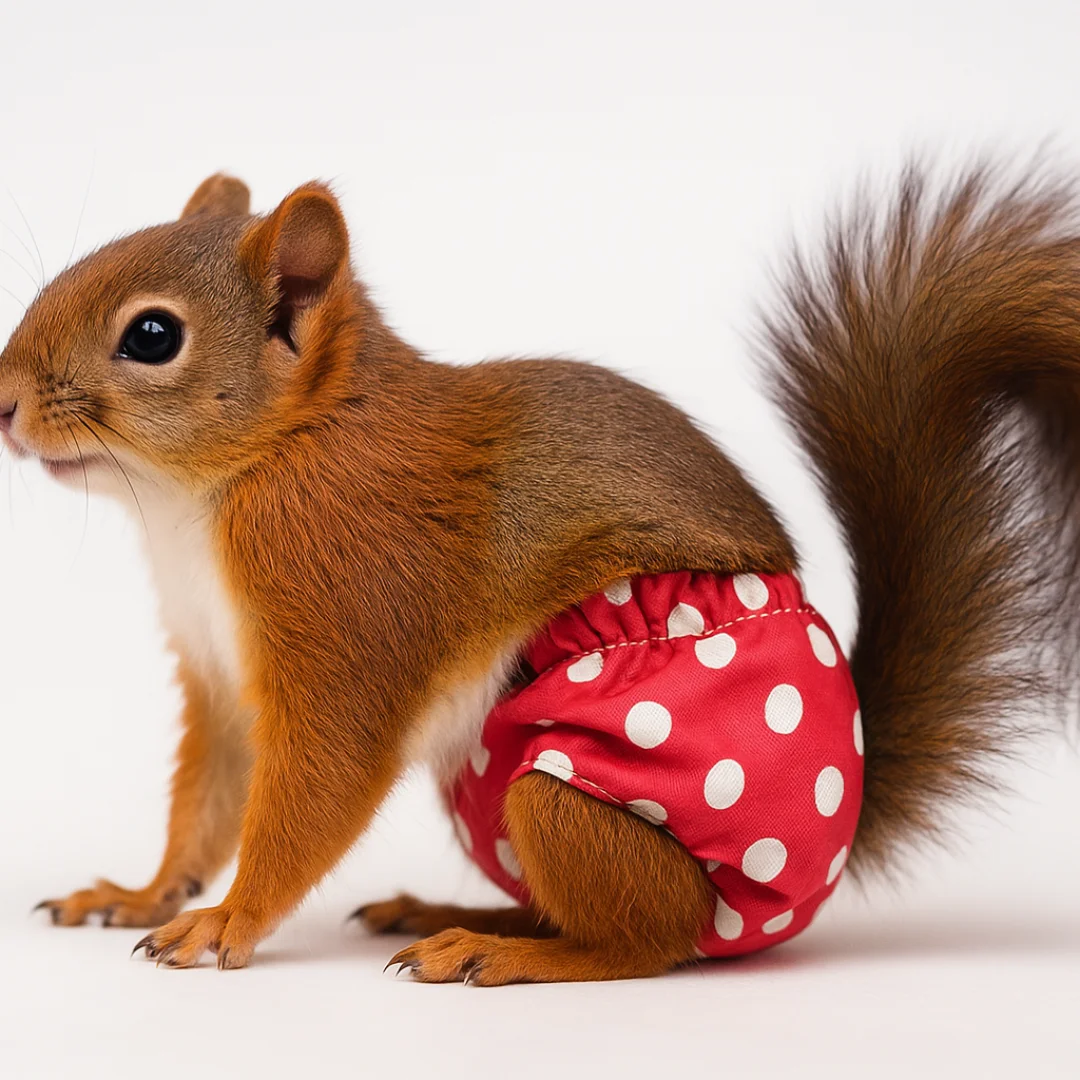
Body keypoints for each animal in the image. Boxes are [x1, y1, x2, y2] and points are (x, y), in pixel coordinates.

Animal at [0, 163, 1072, 982]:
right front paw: (141, 892)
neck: (230, 482)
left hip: (562, 799)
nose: (3, 402)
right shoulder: (219, 670)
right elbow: (208, 799)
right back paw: (456, 916)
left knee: (648, 944)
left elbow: (317, 785)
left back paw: (503, 954)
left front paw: (229, 921)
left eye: (152, 336)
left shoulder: (351, 609)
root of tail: (829, 859)